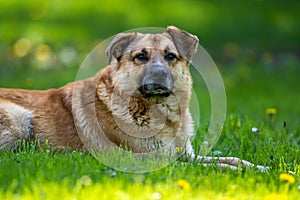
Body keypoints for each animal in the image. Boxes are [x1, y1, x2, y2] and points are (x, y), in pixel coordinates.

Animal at [0, 26, 268, 170]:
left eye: (170, 56)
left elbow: (232, 159)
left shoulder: (186, 155)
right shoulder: (156, 161)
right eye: (141, 56)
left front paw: (261, 168)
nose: (159, 74)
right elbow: (216, 168)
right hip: (19, 120)